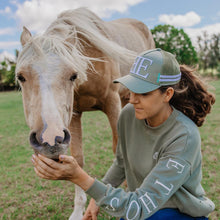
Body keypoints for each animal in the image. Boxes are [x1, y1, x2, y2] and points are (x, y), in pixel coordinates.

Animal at [15, 7, 155, 219]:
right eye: (21, 76)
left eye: (73, 75)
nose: (49, 139)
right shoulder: (73, 114)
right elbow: (78, 158)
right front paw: (78, 210)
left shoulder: (112, 103)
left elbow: (118, 150)